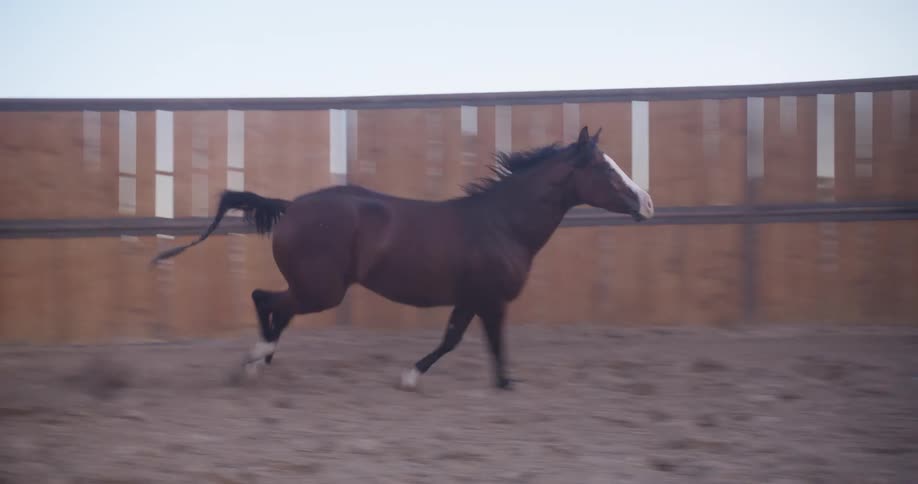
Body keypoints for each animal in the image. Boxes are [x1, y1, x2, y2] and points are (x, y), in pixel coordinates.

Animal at [150, 126, 654, 391]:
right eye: (605, 169)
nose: (646, 203)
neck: (503, 224)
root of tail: (291, 207)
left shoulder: (475, 298)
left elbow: (460, 340)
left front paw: (422, 376)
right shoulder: (489, 299)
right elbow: (476, 344)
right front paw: (418, 377)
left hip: (312, 288)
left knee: (274, 306)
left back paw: (261, 361)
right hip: (322, 291)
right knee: (265, 300)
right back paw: (256, 358)